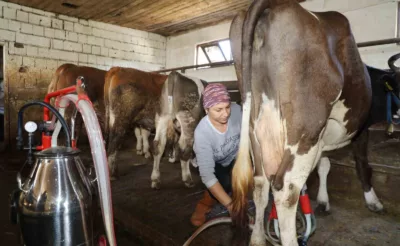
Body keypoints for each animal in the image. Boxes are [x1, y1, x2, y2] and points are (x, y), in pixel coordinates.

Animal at [228, 0, 378, 246]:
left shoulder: (323, 139)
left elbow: (324, 165)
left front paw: (323, 200)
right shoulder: (360, 129)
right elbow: (362, 164)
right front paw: (372, 200)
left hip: (255, 129)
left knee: (260, 184)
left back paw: (257, 238)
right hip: (305, 130)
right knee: (286, 190)